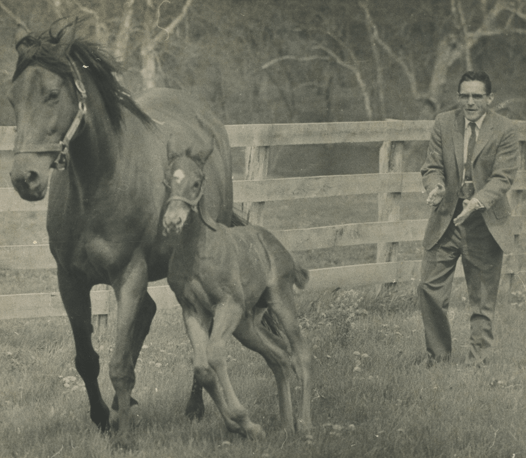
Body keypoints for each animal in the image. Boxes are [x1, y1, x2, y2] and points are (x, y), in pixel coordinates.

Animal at [164, 140, 314, 440]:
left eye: (196, 183)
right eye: (168, 181)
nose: (172, 221)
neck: (197, 251)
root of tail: (280, 248)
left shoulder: (227, 305)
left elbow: (214, 354)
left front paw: (242, 418)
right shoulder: (192, 309)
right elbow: (203, 368)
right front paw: (244, 426)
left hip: (279, 299)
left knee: (300, 352)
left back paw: (304, 425)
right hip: (247, 324)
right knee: (279, 356)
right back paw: (285, 424)